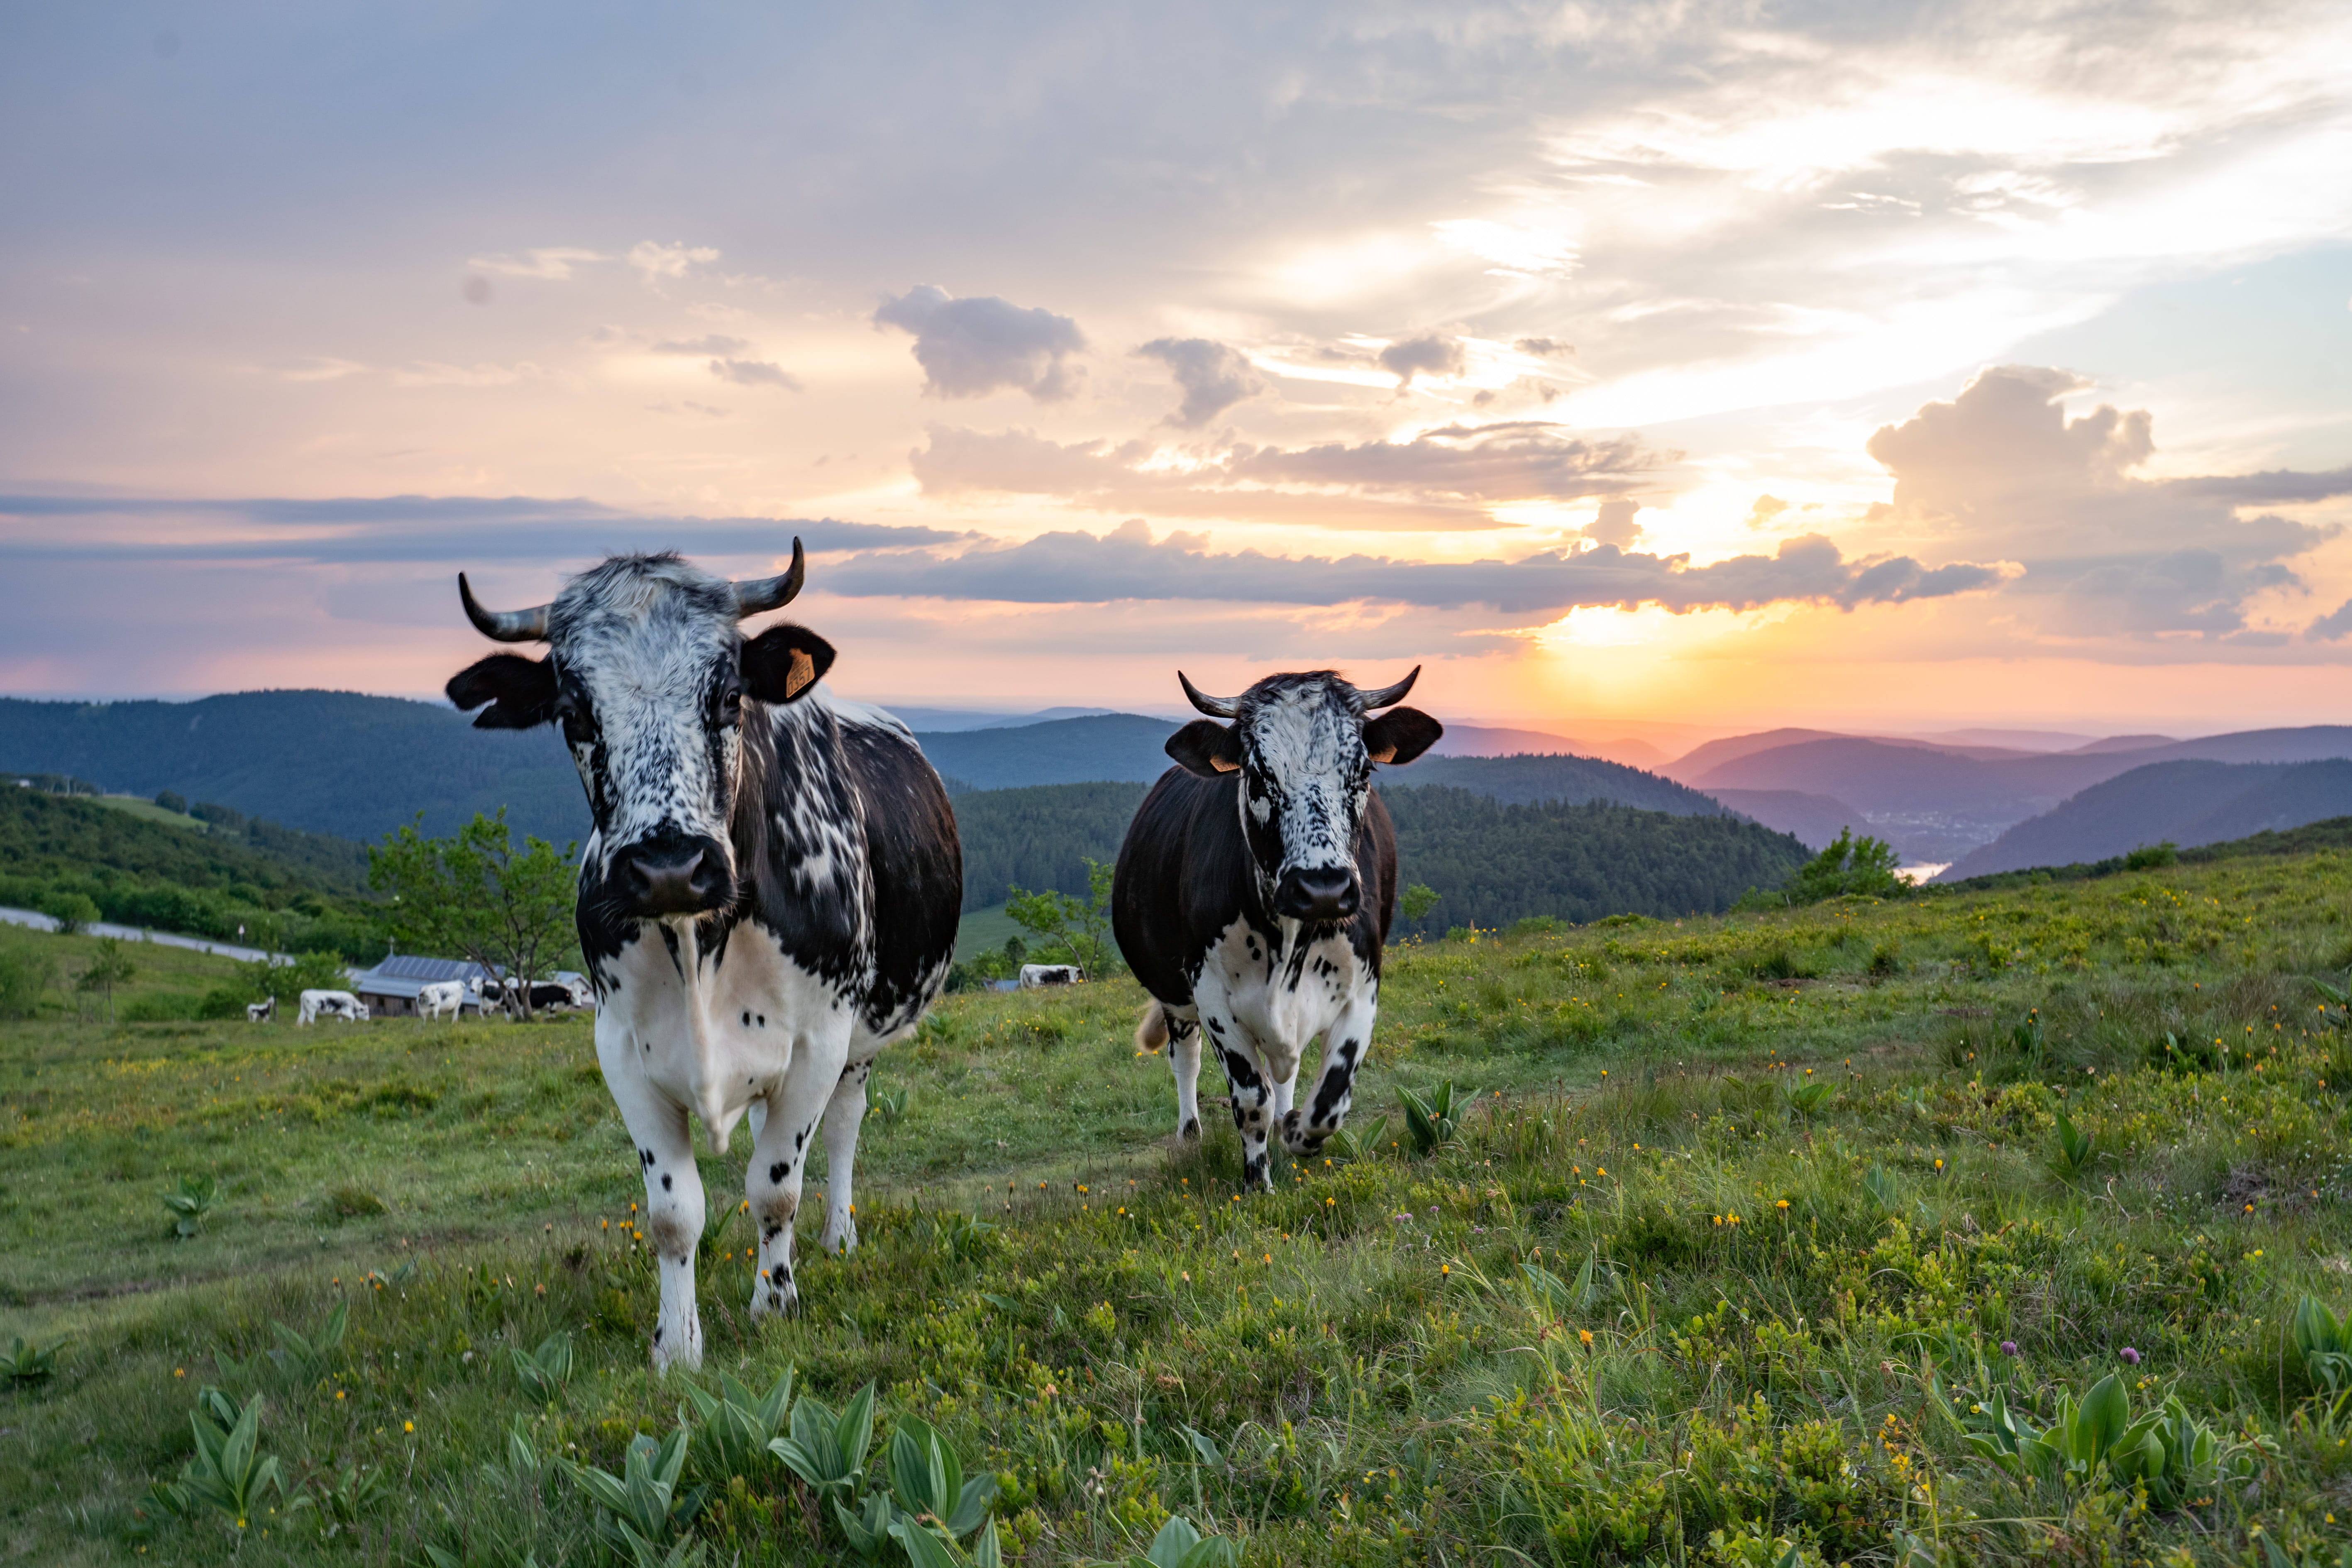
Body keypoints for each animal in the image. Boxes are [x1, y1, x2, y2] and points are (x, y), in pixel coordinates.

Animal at [298, 990, 368, 1025]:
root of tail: (305, 993)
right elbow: (353, 1017)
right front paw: (351, 1024)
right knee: (310, 1019)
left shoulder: (340, 1014)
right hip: (312, 1010)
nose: (368, 1020)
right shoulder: (346, 1011)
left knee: (301, 1018)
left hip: (304, 1009)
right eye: (366, 1013)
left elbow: (340, 1021)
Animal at [444, 543, 961, 1370]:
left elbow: (776, 1187)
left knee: (842, 1127)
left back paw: (838, 1235)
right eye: (574, 711)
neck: (697, 946)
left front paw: (774, 1303)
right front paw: (676, 1345)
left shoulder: (819, 1040)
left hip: (859, 1040)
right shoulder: (621, 1049)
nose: (668, 867)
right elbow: (673, 1212)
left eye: (727, 697)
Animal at [1017, 964, 1082, 989]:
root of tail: (1027, 966)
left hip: (1025, 987)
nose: (1072, 982)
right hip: (1035, 986)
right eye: (1068, 974)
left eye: (1076, 974)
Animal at [1112, 667, 1442, 1191]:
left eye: (1363, 772)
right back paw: (1190, 1135)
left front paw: (1297, 1133)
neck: (1288, 942)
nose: (1323, 887)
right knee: (1186, 1057)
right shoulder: (1212, 995)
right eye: (1257, 776)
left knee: (1284, 1070)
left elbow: (1330, 1100)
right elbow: (1251, 1102)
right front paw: (1257, 1184)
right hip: (1175, 997)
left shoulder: (1363, 987)